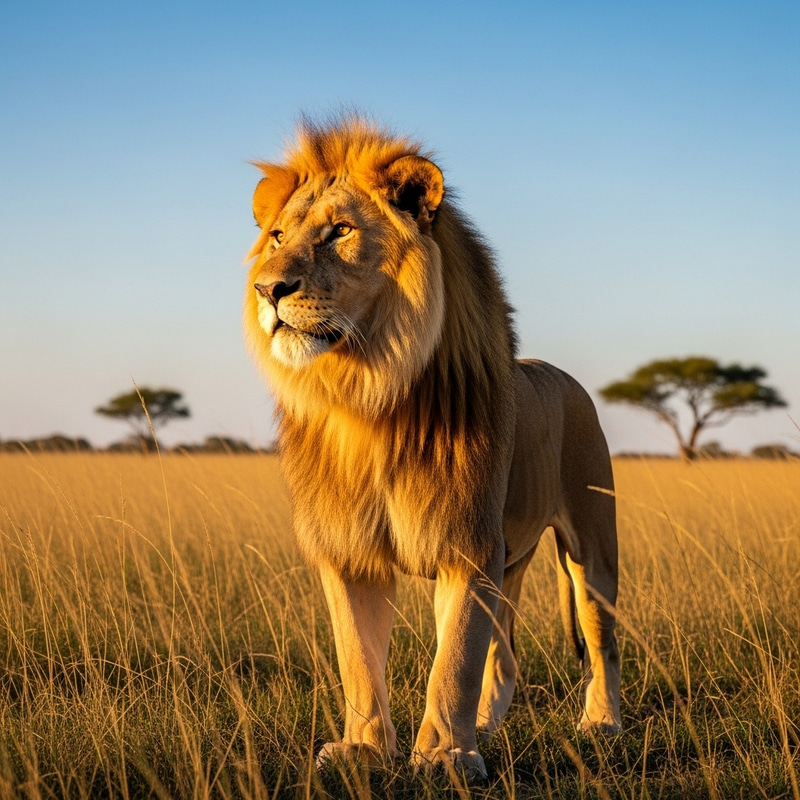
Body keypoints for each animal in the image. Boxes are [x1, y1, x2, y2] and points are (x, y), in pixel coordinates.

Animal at [244, 116, 621, 781]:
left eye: (341, 231)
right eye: (277, 236)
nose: (269, 289)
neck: (365, 395)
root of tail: (559, 373)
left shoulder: (468, 545)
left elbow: (454, 662)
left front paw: (445, 757)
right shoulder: (349, 552)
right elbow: (358, 660)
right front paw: (365, 750)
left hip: (591, 545)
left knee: (601, 639)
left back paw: (601, 724)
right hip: (513, 558)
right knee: (506, 657)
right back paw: (489, 727)